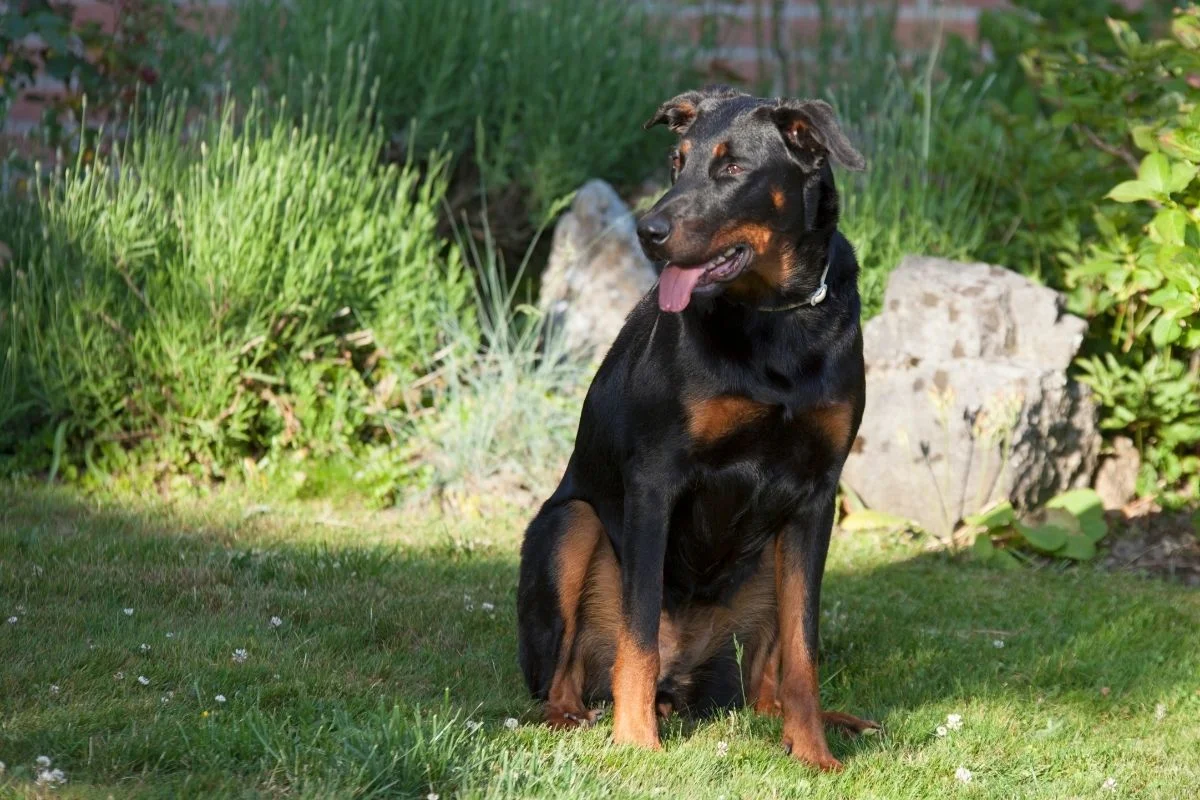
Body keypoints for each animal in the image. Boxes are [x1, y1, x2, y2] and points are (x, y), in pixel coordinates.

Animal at [520, 86, 878, 767]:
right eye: (675, 162)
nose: (647, 232)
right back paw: (577, 718)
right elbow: (637, 631)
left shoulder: (816, 496)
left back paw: (829, 722)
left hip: (766, 562)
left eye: (733, 167)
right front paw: (636, 745)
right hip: (572, 524)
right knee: (562, 676)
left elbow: (804, 648)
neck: (776, 321)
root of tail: (681, 685)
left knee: (765, 689)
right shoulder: (655, 479)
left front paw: (814, 755)